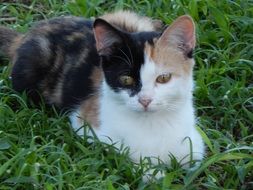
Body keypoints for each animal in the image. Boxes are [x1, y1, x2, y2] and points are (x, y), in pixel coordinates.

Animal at [0, 10, 205, 171]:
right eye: (126, 79)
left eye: (163, 78)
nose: (145, 100)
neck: (153, 124)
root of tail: (26, 35)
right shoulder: (85, 124)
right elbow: (125, 150)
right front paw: (149, 171)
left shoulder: (195, 145)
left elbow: (194, 157)